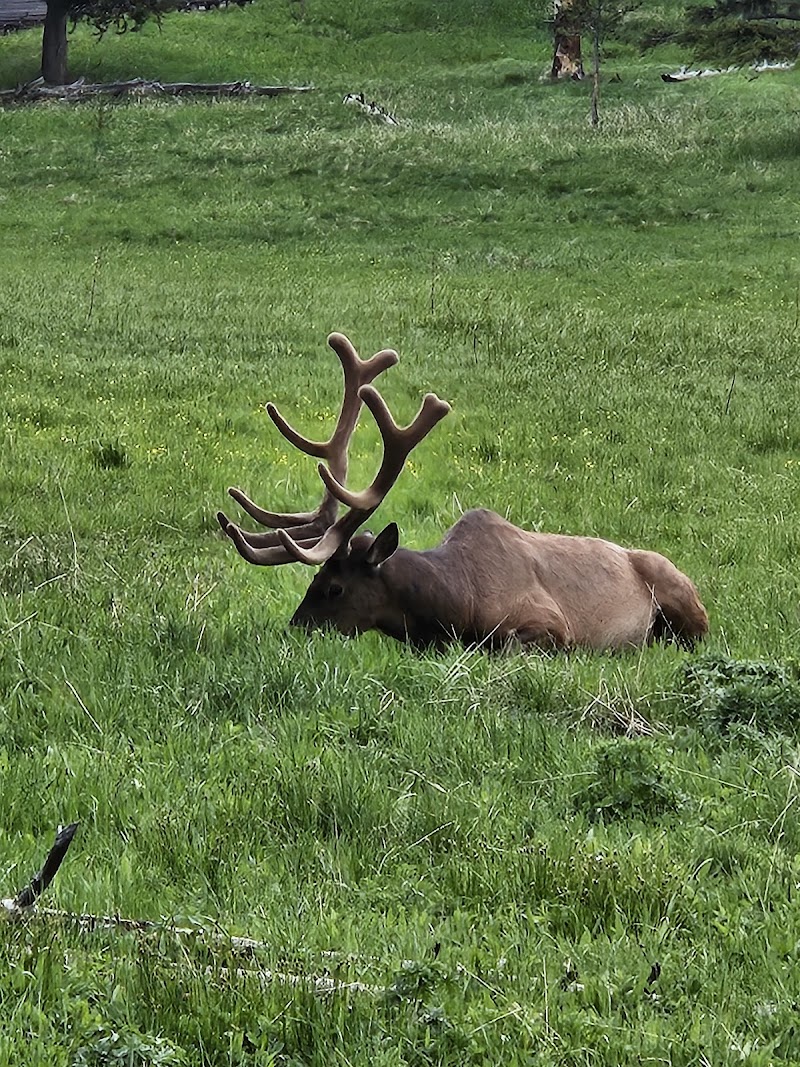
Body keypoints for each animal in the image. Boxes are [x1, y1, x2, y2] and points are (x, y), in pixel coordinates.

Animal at [217, 333, 709, 652]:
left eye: (335, 588)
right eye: (313, 581)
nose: (294, 630)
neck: (456, 605)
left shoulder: (551, 625)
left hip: (684, 602)